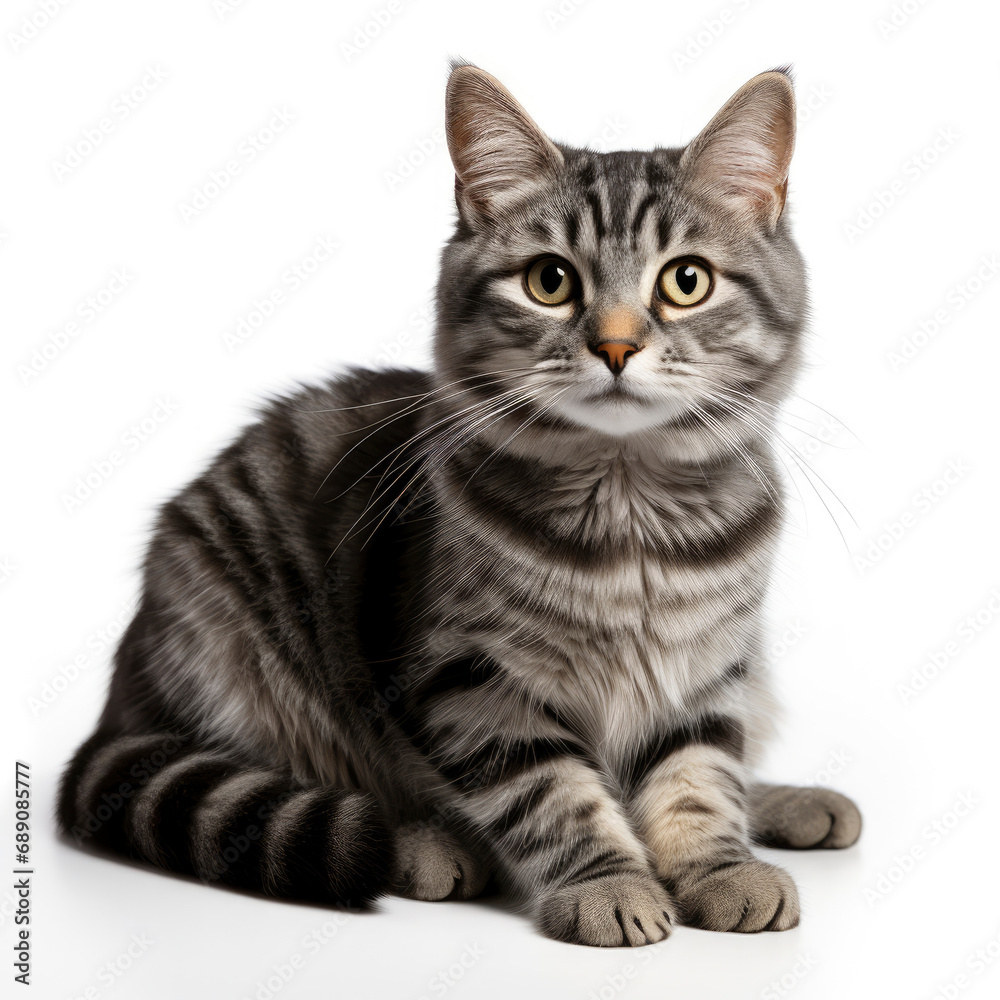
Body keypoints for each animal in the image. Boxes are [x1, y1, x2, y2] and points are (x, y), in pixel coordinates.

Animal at [60, 62, 860, 944]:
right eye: (551, 281)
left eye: (687, 281)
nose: (616, 345)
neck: (630, 516)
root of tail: (121, 699)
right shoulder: (472, 680)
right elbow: (553, 794)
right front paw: (608, 882)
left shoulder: (710, 671)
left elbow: (701, 776)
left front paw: (720, 866)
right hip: (242, 662)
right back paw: (425, 845)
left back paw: (793, 804)